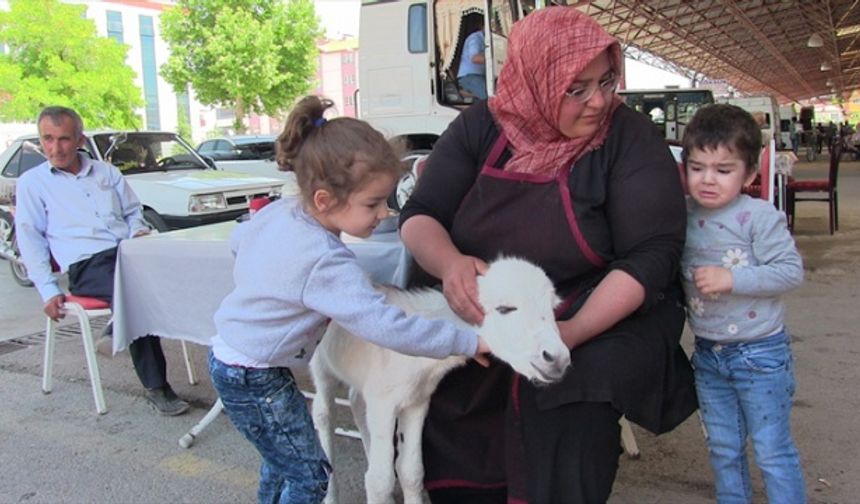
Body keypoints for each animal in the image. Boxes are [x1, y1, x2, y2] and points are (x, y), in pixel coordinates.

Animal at [310, 258, 572, 504]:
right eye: (505, 308)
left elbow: (411, 471)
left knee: (356, 403)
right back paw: (329, 495)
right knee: (323, 413)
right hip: (321, 365)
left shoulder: (416, 401)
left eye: (553, 309)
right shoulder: (383, 403)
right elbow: (379, 481)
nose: (557, 358)